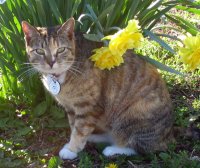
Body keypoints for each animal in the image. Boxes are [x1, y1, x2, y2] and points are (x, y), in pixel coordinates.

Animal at [21, 17, 173, 159]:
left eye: (61, 49)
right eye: (39, 51)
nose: (51, 62)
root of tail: (167, 136)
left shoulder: (87, 107)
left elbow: (80, 130)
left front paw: (71, 149)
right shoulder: (70, 107)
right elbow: (74, 126)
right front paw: (73, 143)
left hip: (131, 116)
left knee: (139, 147)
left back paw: (113, 150)